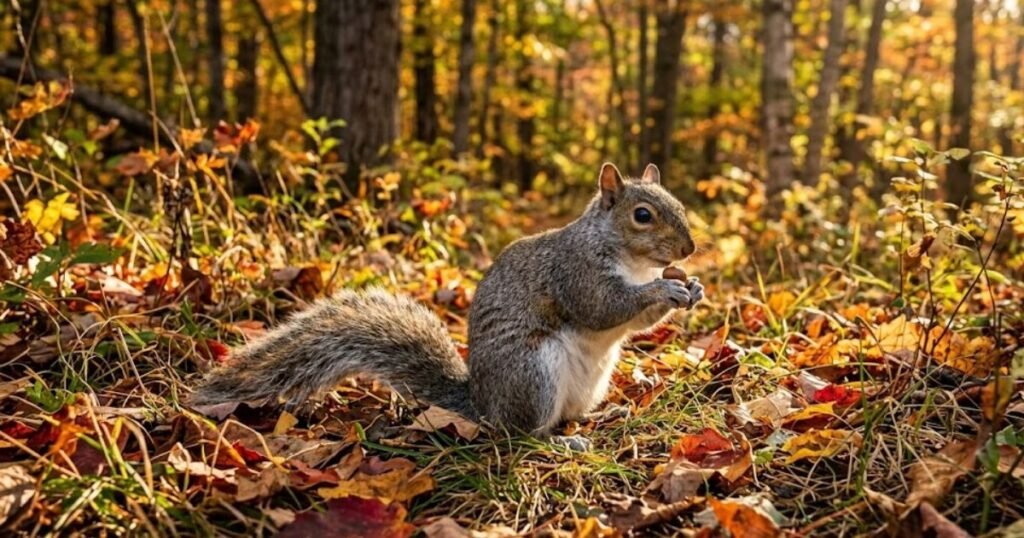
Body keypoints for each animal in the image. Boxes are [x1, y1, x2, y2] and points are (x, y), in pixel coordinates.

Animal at [191, 163, 704, 441]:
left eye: (678, 203)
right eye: (642, 215)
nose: (689, 249)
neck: (632, 261)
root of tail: (482, 404)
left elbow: (636, 323)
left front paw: (691, 288)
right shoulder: (575, 273)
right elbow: (604, 308)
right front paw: (664, 290)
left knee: (569, 417)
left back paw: (602, 415)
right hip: (532, 374)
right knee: (522, 432)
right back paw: (555, 442)